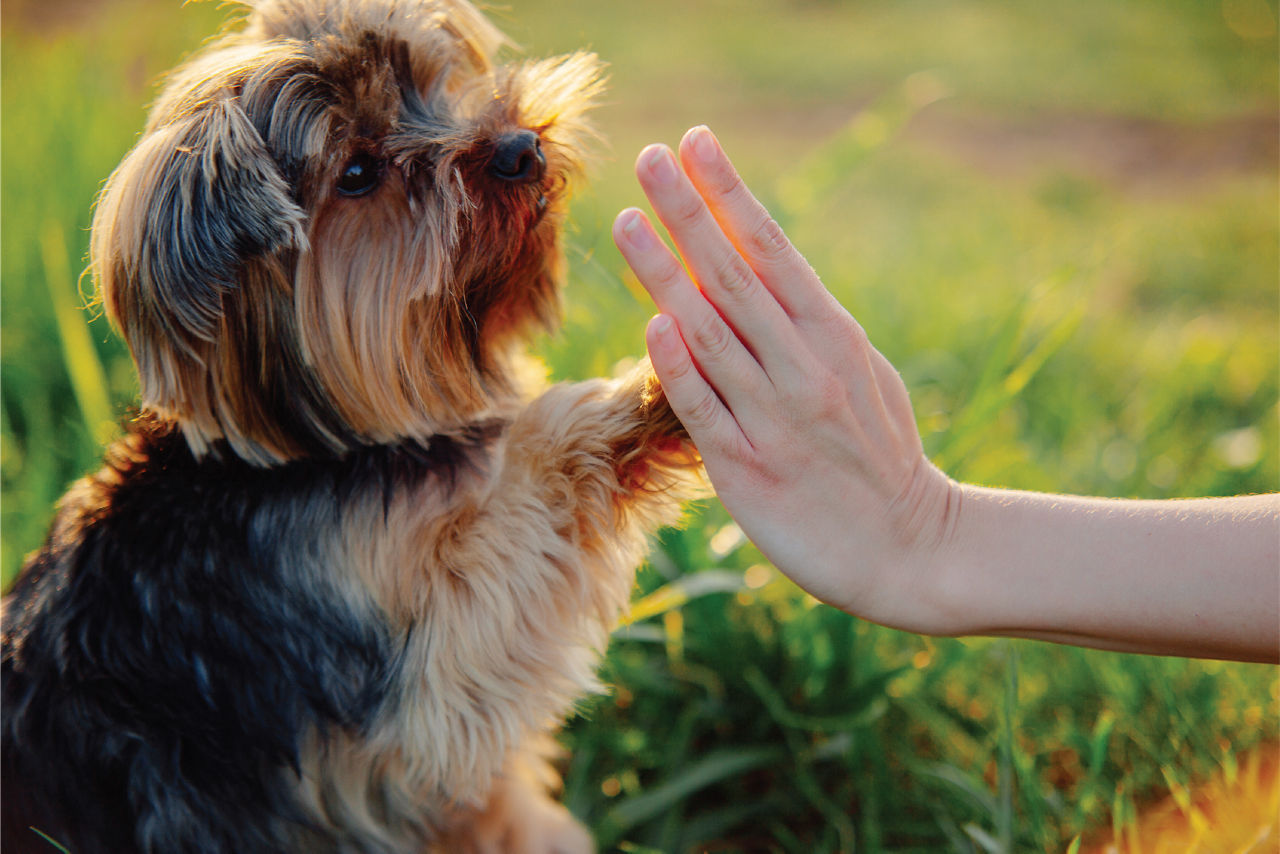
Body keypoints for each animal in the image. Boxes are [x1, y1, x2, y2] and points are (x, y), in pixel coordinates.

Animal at [2, 1, 701, 854]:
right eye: (358, 173)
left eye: (431, 86)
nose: (520, 147)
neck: (324, 449)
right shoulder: (413, 685)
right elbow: (516, 523)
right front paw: (659, 390)